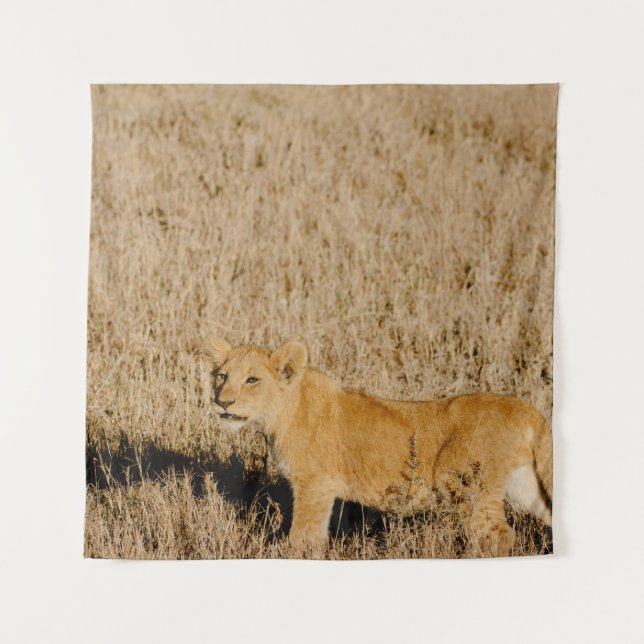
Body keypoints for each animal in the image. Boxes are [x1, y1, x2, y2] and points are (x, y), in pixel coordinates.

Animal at [202, 336, 553, 556]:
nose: (222, 402)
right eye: (221, 376)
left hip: (467, 489)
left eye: (252, 380)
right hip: (525, 487)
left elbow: (303, 538)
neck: (280, 414)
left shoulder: (315, 485)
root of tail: (528, 410)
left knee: (501, 536)